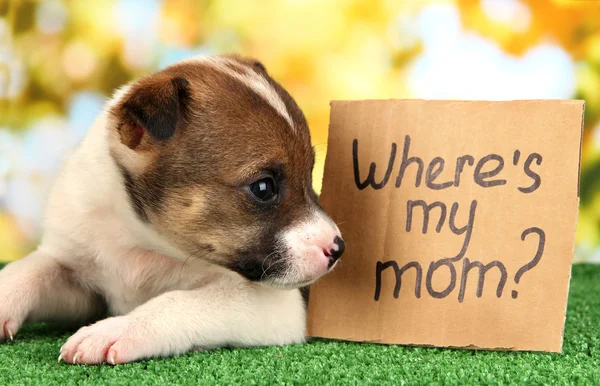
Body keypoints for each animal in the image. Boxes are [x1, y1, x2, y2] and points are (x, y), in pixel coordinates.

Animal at [0, 54, 344, 364]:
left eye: (310, 174)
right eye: (263, 188)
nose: (338, 248)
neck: (141, 241)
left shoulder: (275, 305)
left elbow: (177, 300)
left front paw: (117, 330)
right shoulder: (80, 279)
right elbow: (28, 269)